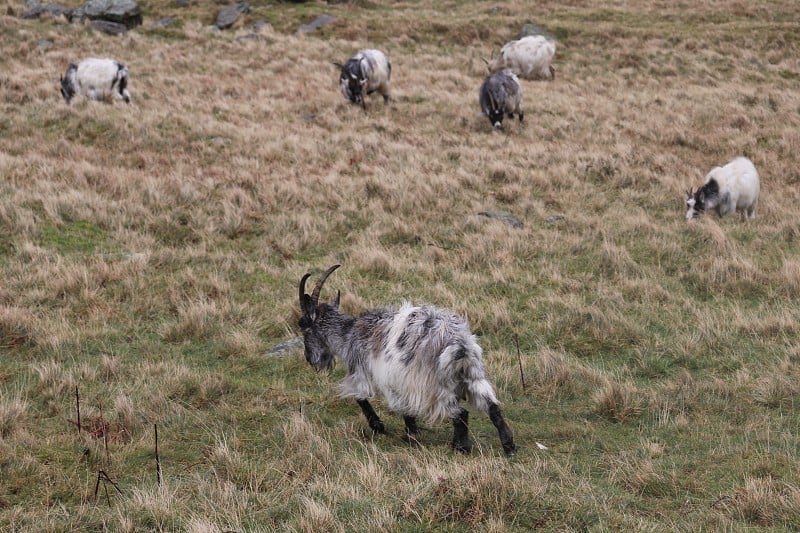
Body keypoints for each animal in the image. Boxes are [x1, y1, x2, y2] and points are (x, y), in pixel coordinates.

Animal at [296, 264, 516, 456]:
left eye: (304, 325)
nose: (309, 358)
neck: (349, 334)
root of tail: (460, 344)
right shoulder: (399, 382)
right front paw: (410, 433)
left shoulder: (369, 372)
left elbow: (362, 397)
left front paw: (383, 427)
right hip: (473, 375)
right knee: (493, 407)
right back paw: (509, 447)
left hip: (437, 385)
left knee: (460, 412)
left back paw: (461, 447)